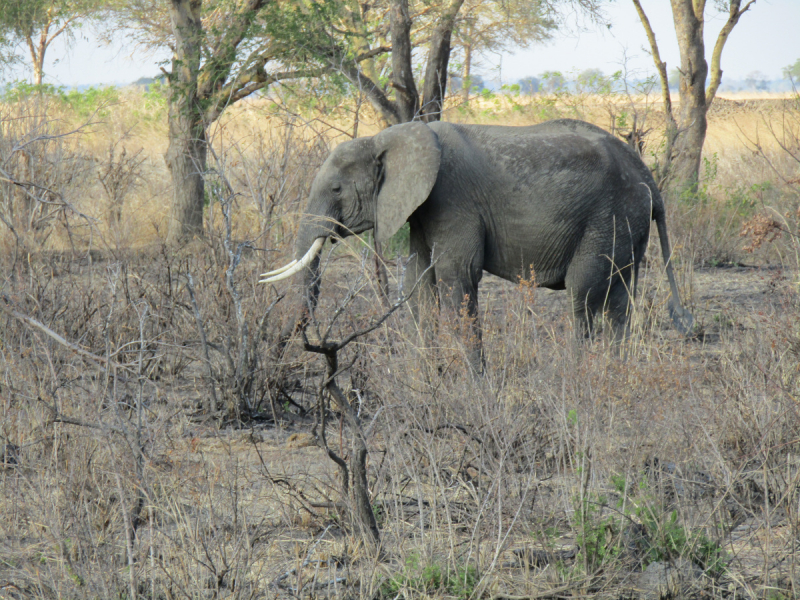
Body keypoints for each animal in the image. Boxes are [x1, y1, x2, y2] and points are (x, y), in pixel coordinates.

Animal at [264, 119, 692, 368]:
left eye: (337, 189)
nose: (285, 349)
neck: (389, 137)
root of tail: (649, 178)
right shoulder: (423, 209)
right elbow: (419, 283)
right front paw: (428, 381)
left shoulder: (453, 199)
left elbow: (457, 277)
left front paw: (473, 387)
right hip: (626, 223)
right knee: (619, 297)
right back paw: (614, 373)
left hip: (610, 214)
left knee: (583, 292)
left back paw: (576, 376)